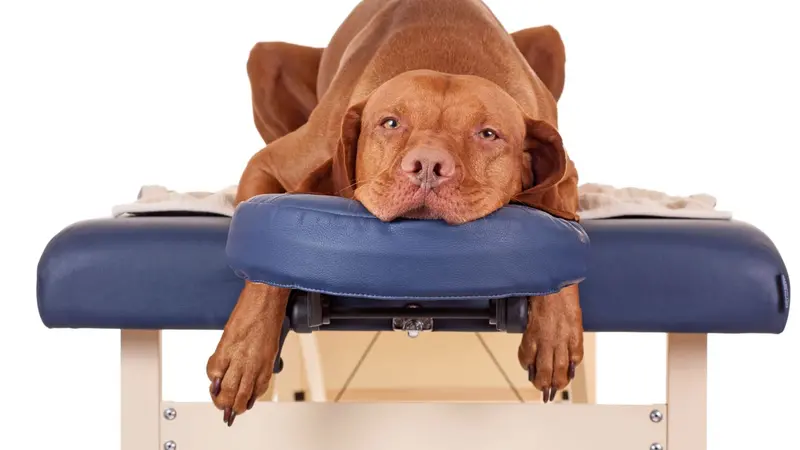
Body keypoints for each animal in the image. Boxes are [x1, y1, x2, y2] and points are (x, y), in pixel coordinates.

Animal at [206, 0, 580, 426]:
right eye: (390, 123)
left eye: (488, 134)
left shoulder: (567, 174)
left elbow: (563, 225)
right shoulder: (267, 165)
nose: (429, 165)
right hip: (264, 58)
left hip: (550, 39)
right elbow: (266, 258)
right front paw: (244, 356)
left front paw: (554, 335)